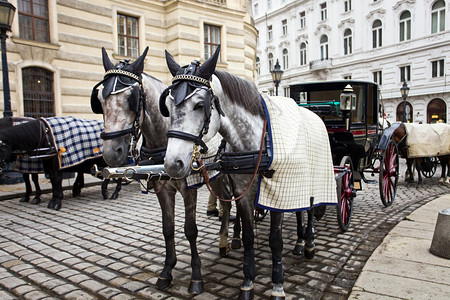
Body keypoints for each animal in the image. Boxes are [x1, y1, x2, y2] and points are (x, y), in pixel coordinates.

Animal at [160, 45, 318, 298]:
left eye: (199, 105)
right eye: (168, 106)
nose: (172, 164)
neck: (254, 143)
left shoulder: (276, 192)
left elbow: (275, 240)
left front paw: (277, 284)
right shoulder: (244, 192)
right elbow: (249, 236)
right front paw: (248, 281)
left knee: (310, 209)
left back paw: (308, 243)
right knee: (299, 210)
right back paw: (300, 241)